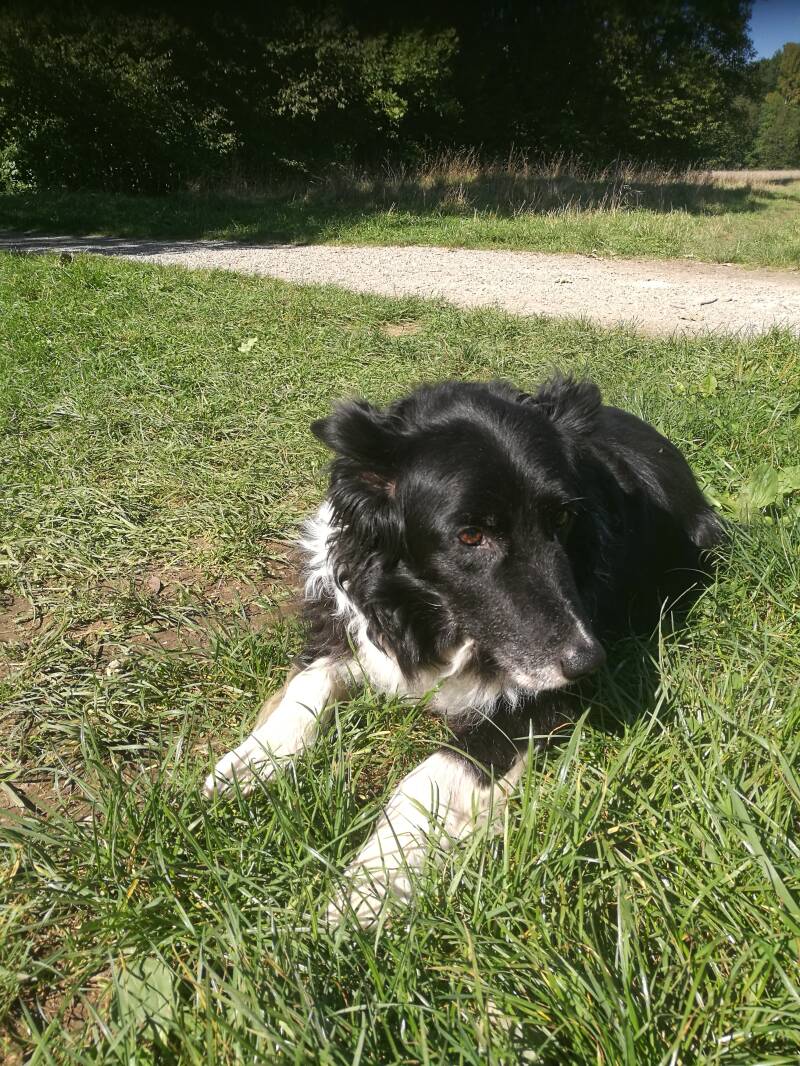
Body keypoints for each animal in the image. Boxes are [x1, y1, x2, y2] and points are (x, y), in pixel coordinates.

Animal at [204, 376, 723, 927]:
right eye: (471, 534)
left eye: (563, 518)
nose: (588, 662)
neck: (431, 617)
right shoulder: (350, 620)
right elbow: (309, 683)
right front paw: (250, 761)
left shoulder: (537, 700)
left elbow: (431, 775)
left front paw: (365, 889)